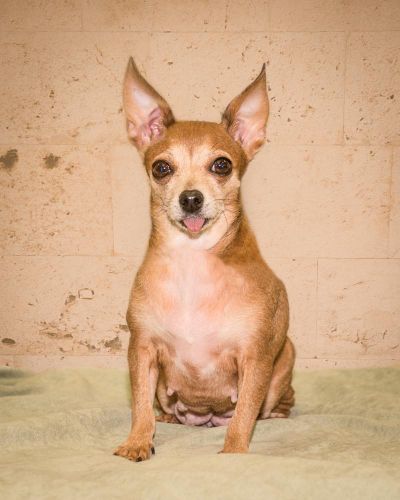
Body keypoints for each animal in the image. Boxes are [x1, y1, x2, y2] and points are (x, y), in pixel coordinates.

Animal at [114, 57, 296, 460]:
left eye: (221, 165)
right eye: (161, 168)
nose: (191, 198)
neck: (192, 261)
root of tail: (208, 417)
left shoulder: (254, 357)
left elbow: (244, 415)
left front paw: (233, 454)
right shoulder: (142, 350)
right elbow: (139, 404)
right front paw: (137, 441)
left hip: (286, 355)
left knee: (270, 404)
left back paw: (276, 414)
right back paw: (166, 418)